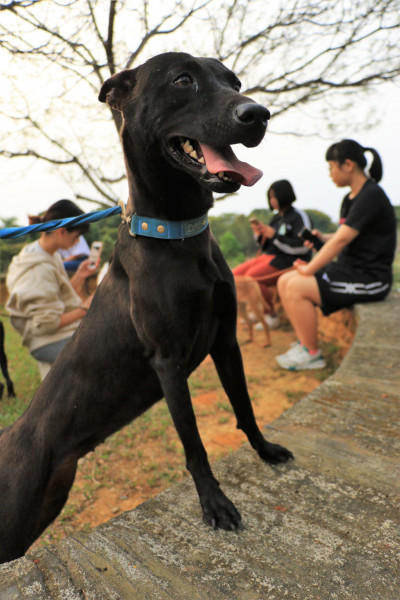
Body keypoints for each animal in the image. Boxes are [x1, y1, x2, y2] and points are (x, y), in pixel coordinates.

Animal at [0, 52, 294, 564]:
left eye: (234, 82)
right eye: (183, 80)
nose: (258, 114)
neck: (178, 236)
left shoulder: (226, 341)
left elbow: (245, 406)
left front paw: (266, 451)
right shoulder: (167, 361)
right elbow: (193, 443)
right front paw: (215, 504)